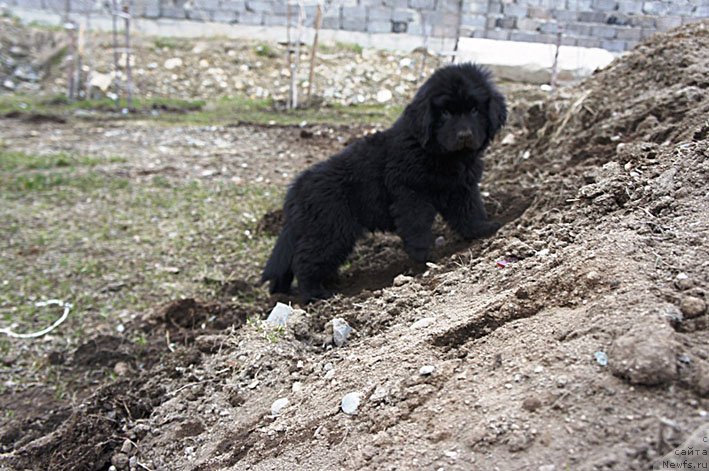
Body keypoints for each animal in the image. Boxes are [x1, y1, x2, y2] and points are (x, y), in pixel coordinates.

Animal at [262, 62, 506, 302]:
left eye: (474, 110)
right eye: (445, 113)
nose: (464, 135)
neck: (441, 154)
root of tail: (295, 190)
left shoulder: (462, 188)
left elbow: (470, 211)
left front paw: (483, 230)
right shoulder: (410, 194)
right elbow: (417, 227)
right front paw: (425, 258)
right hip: (330, 229)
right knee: (304, 261)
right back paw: (315, 294)